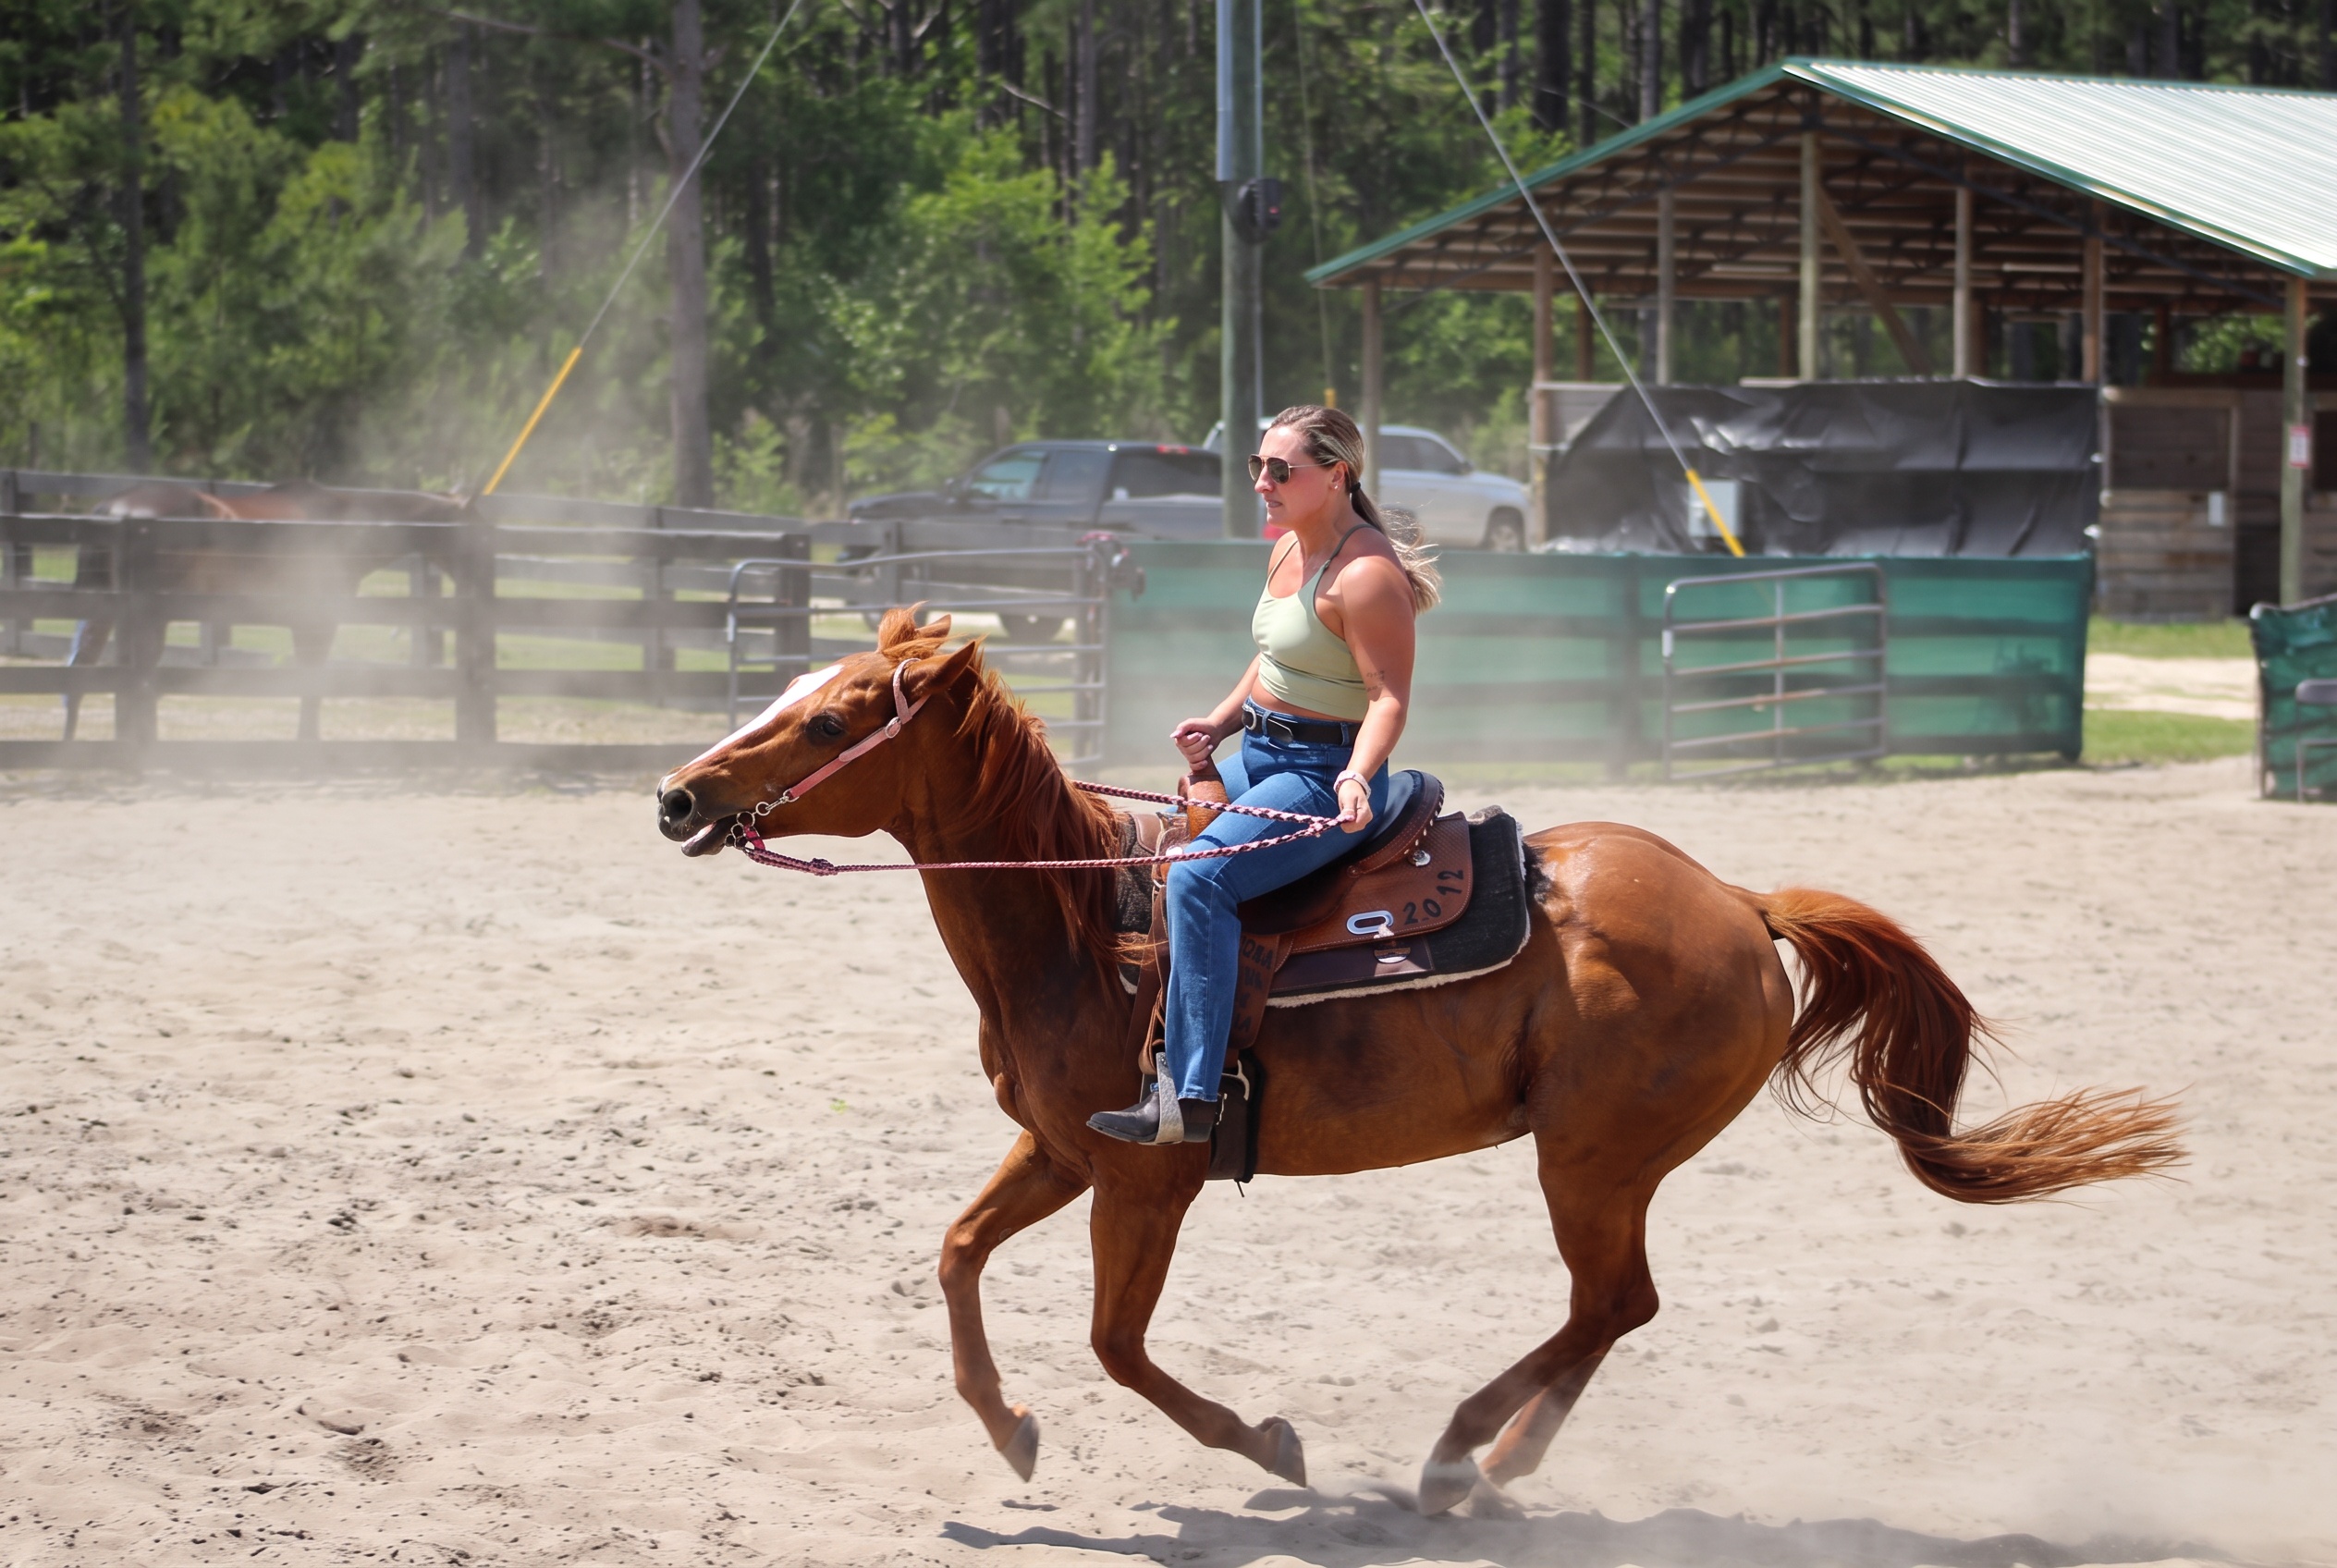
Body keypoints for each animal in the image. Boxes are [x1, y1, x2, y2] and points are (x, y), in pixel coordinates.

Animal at [65, 481, 465, 741]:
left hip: (105, 611)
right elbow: (312, 684)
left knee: (84, 671)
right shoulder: (318, 623)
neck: (344, 523)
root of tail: (113, 507)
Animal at [651, 608, 2182, 1514]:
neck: (1094, 920)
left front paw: (1268, 1446)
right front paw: (1009, 1430)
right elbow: (959, 1253)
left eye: (834, 719)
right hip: (1600, 1162)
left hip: (1592, 1157)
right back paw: (1493, 1468)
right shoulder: (1066, 1147)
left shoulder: (1148, 1175)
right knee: (1613, 1313)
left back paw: (1459, 1457)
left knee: (1612, 1302)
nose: (677, 794)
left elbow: (1116, 1345)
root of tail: (1740, 904)